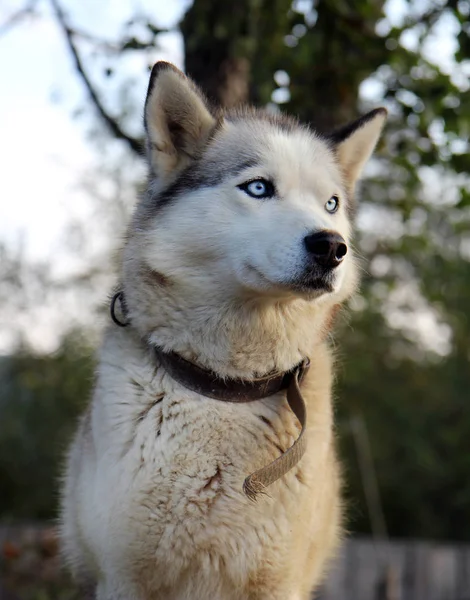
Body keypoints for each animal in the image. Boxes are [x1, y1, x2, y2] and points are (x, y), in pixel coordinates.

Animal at [59, 62, 386, 600]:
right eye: (258, 188)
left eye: (332, 204)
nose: (332, 247)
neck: (227, 386)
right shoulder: (123, 577)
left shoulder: (277, 582)